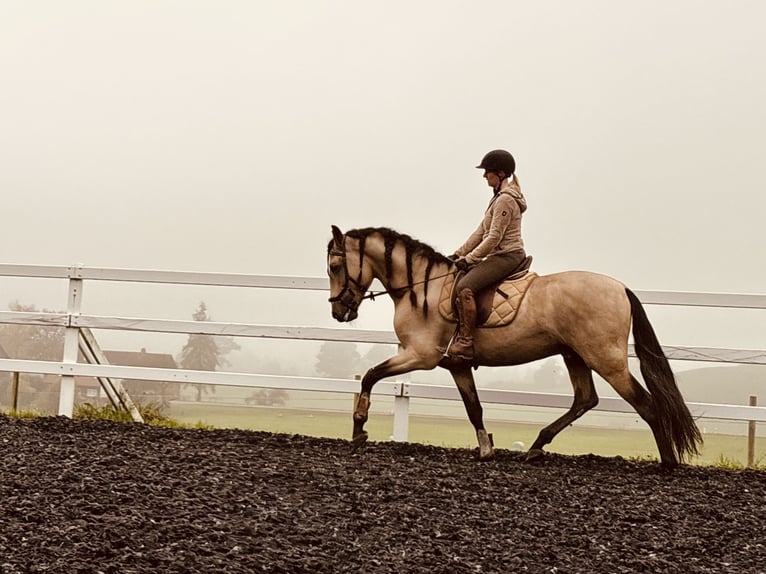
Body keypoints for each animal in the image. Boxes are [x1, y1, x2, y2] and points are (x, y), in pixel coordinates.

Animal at [324, 225, 704, 468]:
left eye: (335, 265)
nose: (338, 312)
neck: (422, 289)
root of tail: (620, 288)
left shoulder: (420, 356)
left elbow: (369, 376)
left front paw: (359, 430)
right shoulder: (456, 364)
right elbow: (474, 408)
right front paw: (486, 449)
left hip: (606, 360)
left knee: (646, 404)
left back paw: (668, 463)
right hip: (575, 356)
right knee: (585, 399)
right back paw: (535, 447)